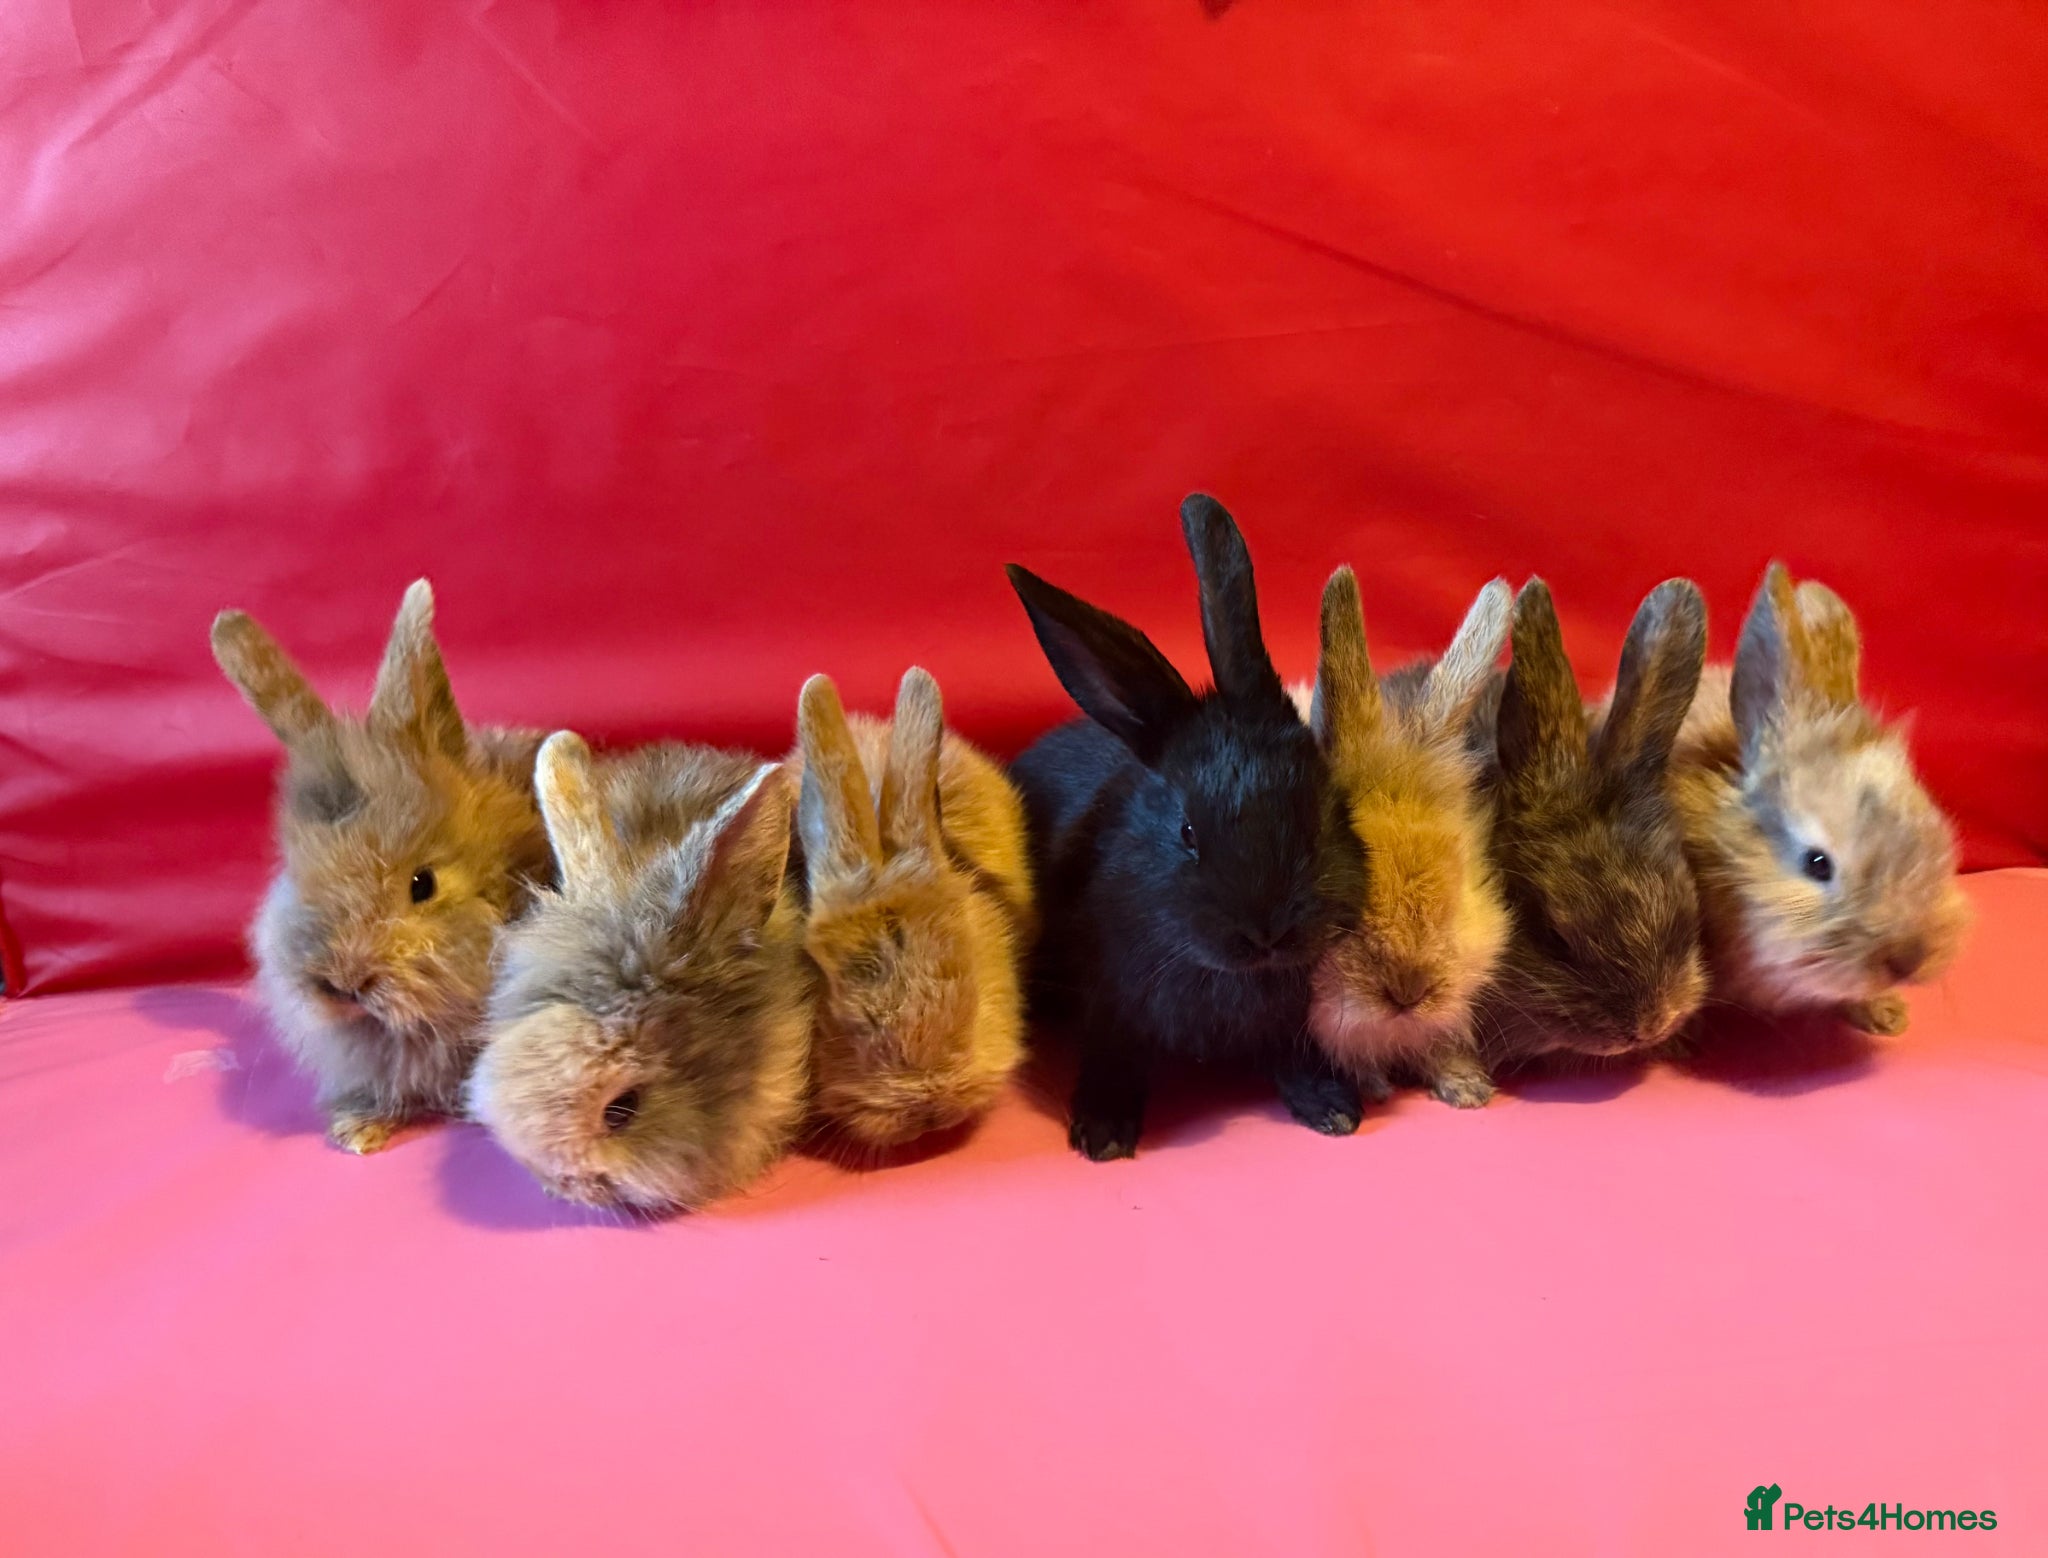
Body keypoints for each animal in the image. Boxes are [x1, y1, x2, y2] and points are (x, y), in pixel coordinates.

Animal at [1005, 493, 1367, 1161]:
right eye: (1187, 832)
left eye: (1322, 808)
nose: (1267, 933)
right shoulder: (1111, 1001)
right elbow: (1112, 1055)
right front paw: (1102, 1133)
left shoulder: (1291, 1020)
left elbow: (1293, 1055)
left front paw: (1332, 1107)